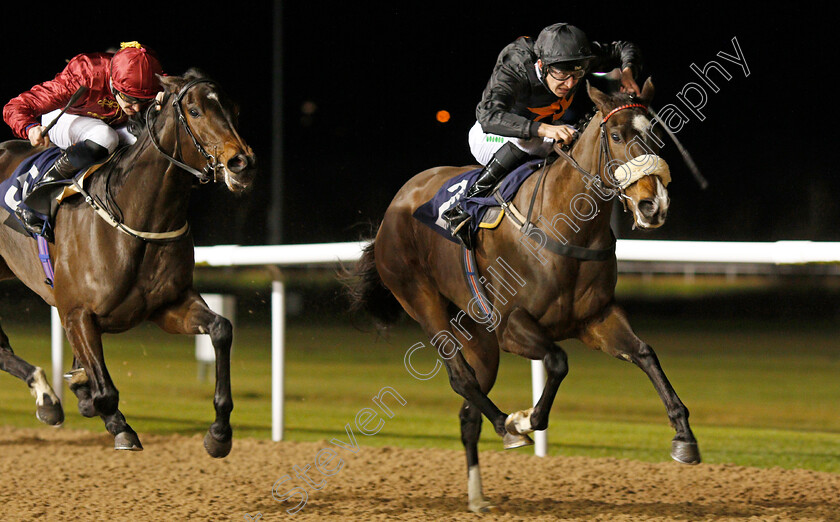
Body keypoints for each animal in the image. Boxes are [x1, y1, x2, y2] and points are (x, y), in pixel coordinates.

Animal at [0, 69, 256, 456]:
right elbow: (105, 391)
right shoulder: (77, 313)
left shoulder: (167, 305)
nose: (242, 164)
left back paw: (49, 396)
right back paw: (47, 397)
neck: (138, 217)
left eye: (235, 110)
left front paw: (219, 433)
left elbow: (221, 328)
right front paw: (116, 424)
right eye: (195, 111)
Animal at [344, 79, 700, 510]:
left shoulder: (596, 318)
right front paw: (526, 419)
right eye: (616, 136)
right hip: (422, 301)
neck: (567, 226)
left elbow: (645, 354)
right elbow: (558, 361)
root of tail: (397, 203)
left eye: (657, 136)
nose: (654, 205)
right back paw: (508, 426)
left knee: (468, 411)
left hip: (479, 336)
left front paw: (684, 437)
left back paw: (478, 497)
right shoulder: (512, 326)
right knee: (461, 379)